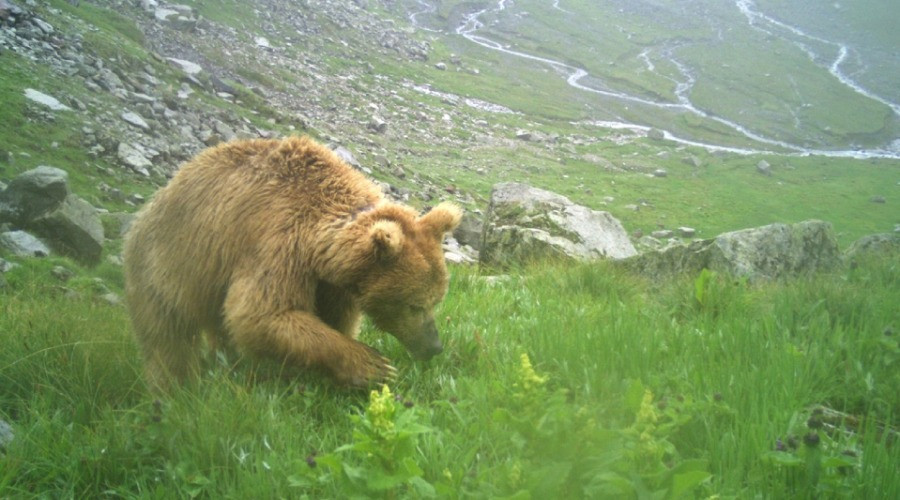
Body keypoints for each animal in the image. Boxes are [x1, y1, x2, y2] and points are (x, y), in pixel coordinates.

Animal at [123, 136, 461, 390]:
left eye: (436, 300)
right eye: (414, 304)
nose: (434, 346)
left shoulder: (331, 283)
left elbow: (333, 317)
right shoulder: (278, 244)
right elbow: (262, 313)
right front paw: (374, 366)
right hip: (166, 266)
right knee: (168, 339)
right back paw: (176, 388)